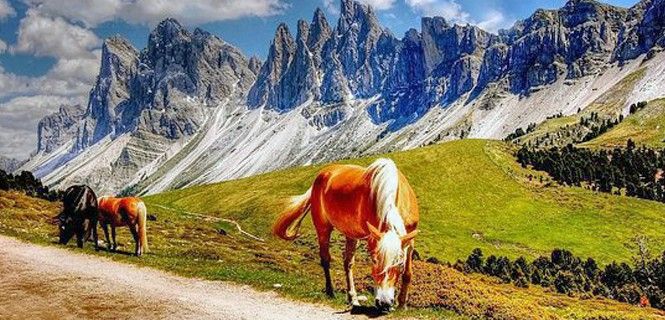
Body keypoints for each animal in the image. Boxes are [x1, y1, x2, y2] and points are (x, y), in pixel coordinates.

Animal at [272, 158, 418, 312]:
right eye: (373, 260)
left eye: (399, 264)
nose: (384, 303)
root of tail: (322, 174)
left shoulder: (410, 240)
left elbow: (408, 273)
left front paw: (402, 304)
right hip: (323, 228)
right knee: (325, 259)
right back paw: (331, 291)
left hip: (351, 234)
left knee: (347, 263)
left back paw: (352, 297)